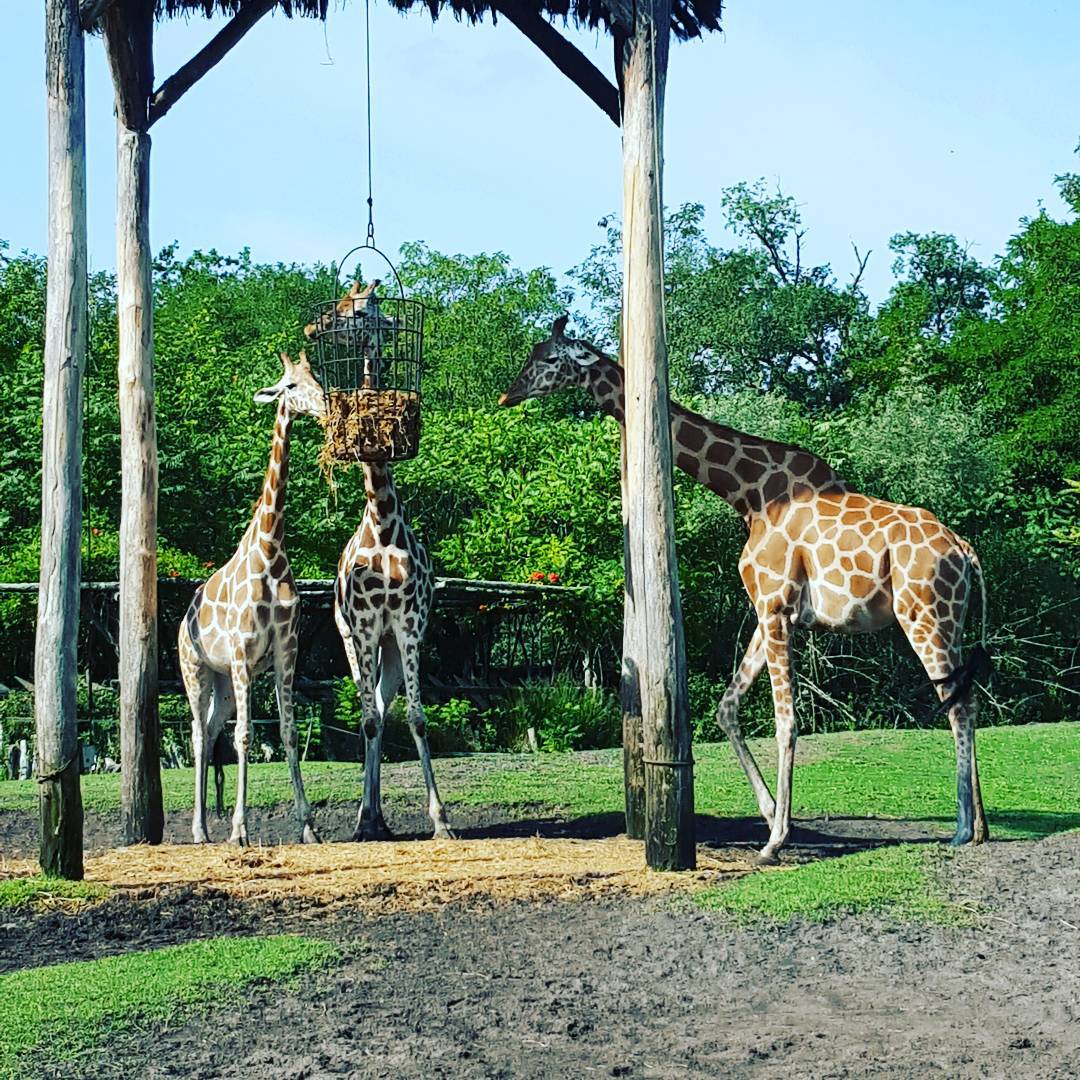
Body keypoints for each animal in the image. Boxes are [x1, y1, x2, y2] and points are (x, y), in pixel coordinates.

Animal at [179, 349, 324, 846]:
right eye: (290, 386)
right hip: (196, 671)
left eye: (317, 377)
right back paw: (200, 830)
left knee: (210, 730)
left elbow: (289, 732)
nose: (325, 407)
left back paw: (206, 826)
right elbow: (244, 736)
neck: (270, 548)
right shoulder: (243, 652)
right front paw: (239, 830)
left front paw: (309, 827)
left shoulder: (287, 650)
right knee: (197, 735)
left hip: (223, 683)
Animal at [332, 460, 451, 838]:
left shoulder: (409, 624)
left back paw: (379, 818)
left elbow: (416, 718)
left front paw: (441, 820)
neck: (383, 525)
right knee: (371, 714)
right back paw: (368, 818)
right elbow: (368, 721)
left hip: (392, 651)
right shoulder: (365, 624)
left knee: (383, 710)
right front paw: (364, 822)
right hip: (352, 641)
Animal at [501, 315, 989, 864]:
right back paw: (981, 825)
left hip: (923, 615)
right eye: (532, 353)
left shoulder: (775, 607)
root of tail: (965, 550)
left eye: (548, 358)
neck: (750, 494)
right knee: (970, 698)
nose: (508, 394)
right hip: (950, 620)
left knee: (959, 704)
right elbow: (727, 708)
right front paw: (772, 812)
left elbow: (786, 720)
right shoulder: (768, 610)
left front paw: (775, 840)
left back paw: (962, 828)